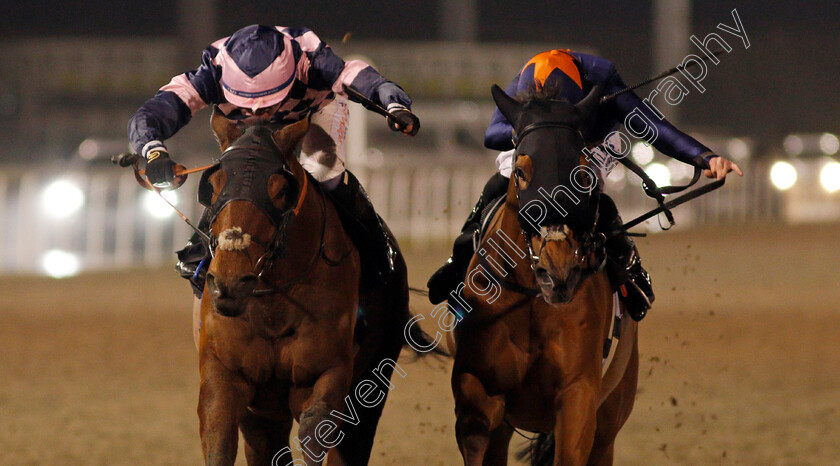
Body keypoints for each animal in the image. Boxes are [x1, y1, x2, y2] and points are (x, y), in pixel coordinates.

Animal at [194, 108, 424, 466]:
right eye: (215, 186)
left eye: (279, 190)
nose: (230, 281)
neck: (272, 308)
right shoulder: (224, 376)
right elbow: (219, 442)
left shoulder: (326, 373)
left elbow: (315, 434)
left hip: (375, 375)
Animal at [452, 85, 636, 464]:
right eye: (521, 172)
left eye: (584, 174)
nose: (558, 269)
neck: (532, 300)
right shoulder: (478, 385)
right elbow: (475, 432)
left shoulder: (579, 396)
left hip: (611, 419)